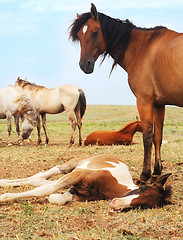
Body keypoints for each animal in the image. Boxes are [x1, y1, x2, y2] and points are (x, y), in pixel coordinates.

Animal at [0, 156, 172, 210]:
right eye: (142, 188)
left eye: (143, 205)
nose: (116, 204)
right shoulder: (78, 174)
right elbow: (45, 190)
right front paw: (4, 198)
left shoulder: (78, 192)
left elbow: (57, 197)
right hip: (70, 166)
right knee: (44, 174)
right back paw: (3, 182)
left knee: (38, 179)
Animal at [69, 3, 183, 181]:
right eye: (80, 36)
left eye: (95, 32)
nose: (84, 65)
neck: (143, 49)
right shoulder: (159, 104)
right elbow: (158, 136)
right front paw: (157, 170)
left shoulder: (144, 101)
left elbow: (147, 136)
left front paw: (145, 174)